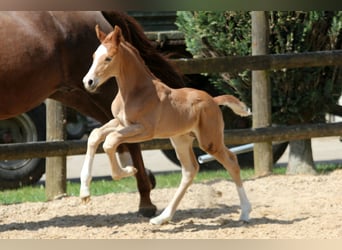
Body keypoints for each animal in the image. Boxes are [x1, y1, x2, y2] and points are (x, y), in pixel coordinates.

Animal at [0, 10, 184, 216]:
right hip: (77, 93)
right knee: (112, 132)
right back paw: (134, 175)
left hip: (101, 90)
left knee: (127, 138)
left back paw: (145, 200)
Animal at [80, 24, 251, 225]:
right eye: (93, 56)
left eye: (108, 58)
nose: (88, 82)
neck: (137, 92)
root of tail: (214, 101)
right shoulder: (120, 122)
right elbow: (96, 135)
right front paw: (84, 193)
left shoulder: (144, 130)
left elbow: (110, 141)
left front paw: (128, 170)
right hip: (180, 140)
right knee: (190, 170)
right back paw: (162, 218)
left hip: (209, 141)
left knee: (231, 161)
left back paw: (245, 212)